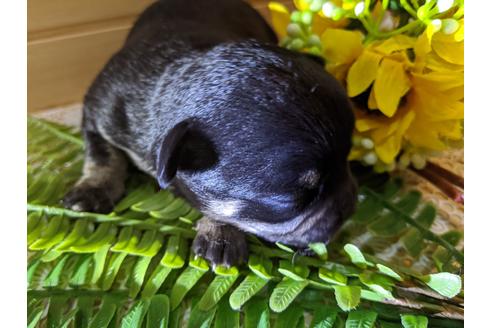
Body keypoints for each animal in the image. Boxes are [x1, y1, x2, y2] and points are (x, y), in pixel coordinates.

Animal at [62, 0, 358, 266]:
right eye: (292, 201)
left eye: (348, 158)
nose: (350, 203)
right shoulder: (98, 108)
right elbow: (103, 155)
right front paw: (94, 188)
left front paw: (220, 233)